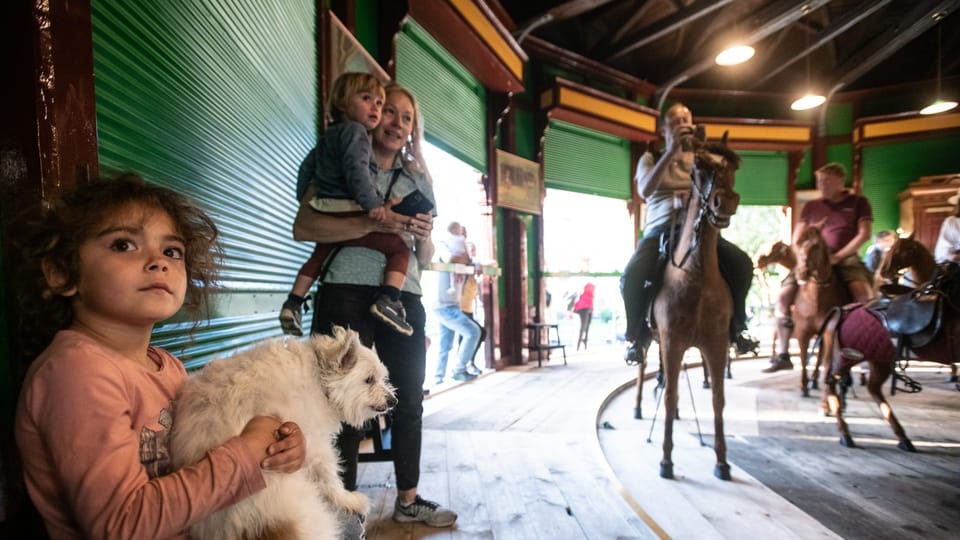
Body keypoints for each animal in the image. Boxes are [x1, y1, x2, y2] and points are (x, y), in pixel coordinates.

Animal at [170, 324, 398, 540]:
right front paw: (348, 500)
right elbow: (330, 477)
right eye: (369, 380)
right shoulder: (316, 445)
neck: (319, 376)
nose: (393, 401)